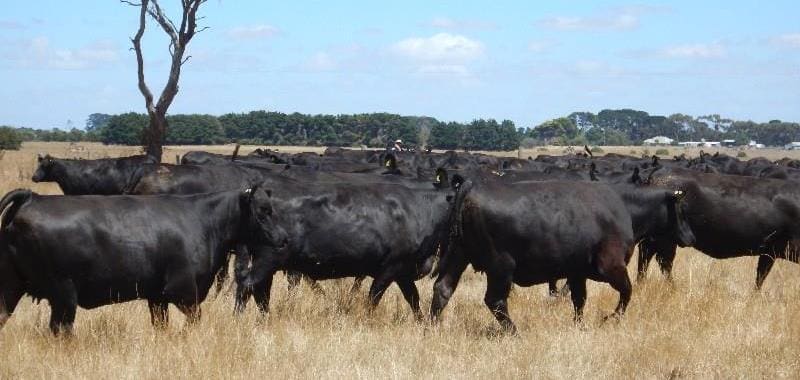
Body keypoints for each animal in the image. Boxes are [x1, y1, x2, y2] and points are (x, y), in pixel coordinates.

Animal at [0, 188, 278, 336]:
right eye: (263, 210)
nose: (283, 237)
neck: (204, 222)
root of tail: (32, 197)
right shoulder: (183, 291)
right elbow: (194, 320)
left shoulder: (157, 297)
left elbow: (161, 325)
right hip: (64, 293)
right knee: (61, 329)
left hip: (12, 285)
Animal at [432, 180, 692, 332]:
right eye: (680, 210)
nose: (690, 237)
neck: (623, 208)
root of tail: (470, 188)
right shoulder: (611, 266)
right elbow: (627, 292)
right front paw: (610, 319)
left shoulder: (577, 271)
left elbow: (579, 300)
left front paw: (579, 326)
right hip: (500, 267)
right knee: (495, 301)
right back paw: (515, 332)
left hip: (458, 256)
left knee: (443, 288)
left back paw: (431, 327)